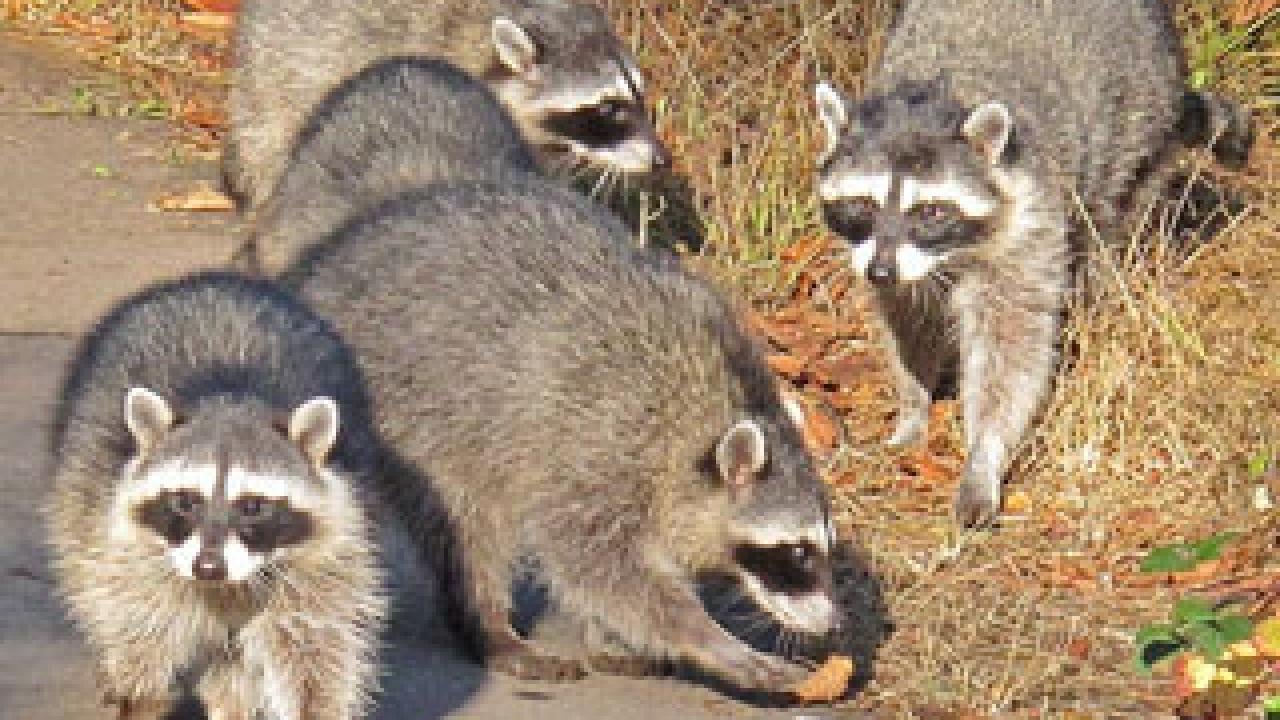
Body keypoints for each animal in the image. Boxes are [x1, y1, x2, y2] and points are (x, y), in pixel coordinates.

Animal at [46, 272, 386, 720]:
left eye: (253, 506)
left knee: (235, 663)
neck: (233, 395)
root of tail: (212, 279)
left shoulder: (334, 542)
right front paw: (140, 686)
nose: (208, 567)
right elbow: (135, 610)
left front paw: (315, 706)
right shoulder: (125, 534)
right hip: (81, 473)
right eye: (187, 501)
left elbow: (316, 638)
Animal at [286, 178, 842, 690]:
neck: (708, 414)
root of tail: (321, 265)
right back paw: (490, 625)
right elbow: (598, 564)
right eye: (798, 553)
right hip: (424, 420)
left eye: (823, 548)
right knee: (469, 525)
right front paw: (708, 639)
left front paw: (617, 637)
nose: (833, 626)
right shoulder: (601, 446)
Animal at [814, 0, 1255, 527]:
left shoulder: (1027, 217)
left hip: (1142, 122)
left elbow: (1011, 344)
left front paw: (985, 453)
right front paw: (914, 401)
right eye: (861, 205)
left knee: (1110, 219)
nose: (880, 272)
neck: (935, 96)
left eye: (931, 211)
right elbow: (909, 319)